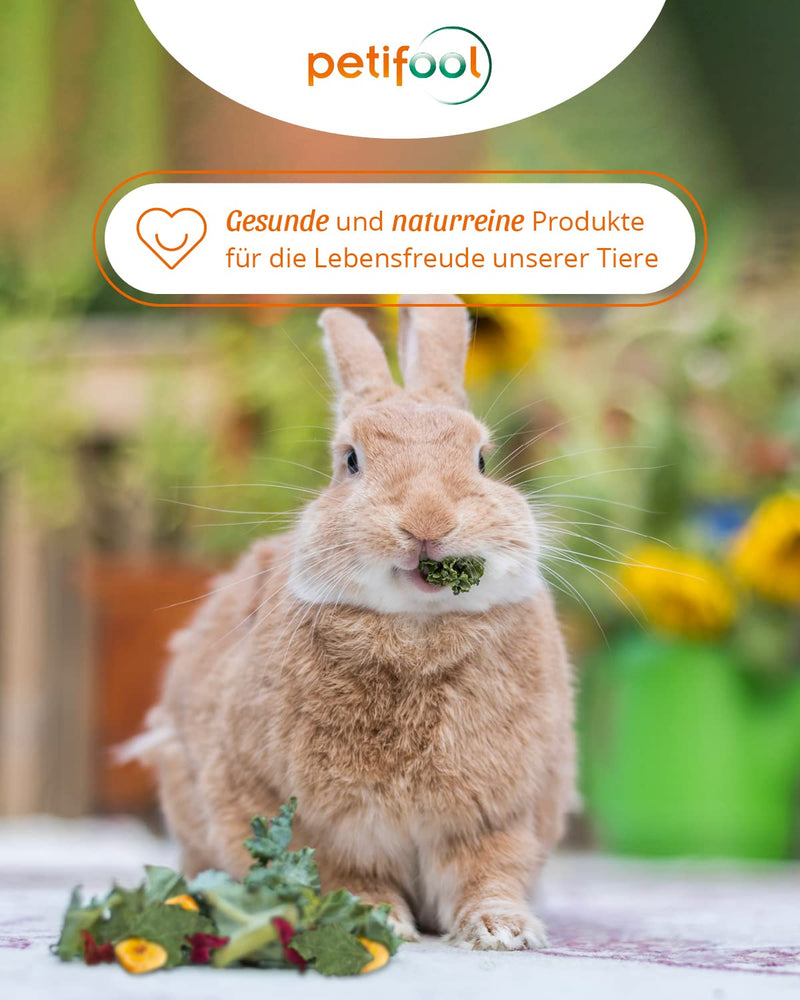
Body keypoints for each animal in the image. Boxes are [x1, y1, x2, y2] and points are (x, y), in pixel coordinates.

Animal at [140, 294, 575, 951]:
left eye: (481, 459)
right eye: (350, 461)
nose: (427, 521)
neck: (416, 628)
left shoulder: (499, 817)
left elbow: (489, 872)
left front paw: (503, 930)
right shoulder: (323, 825)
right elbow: (348, 875)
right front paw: (377, 921)